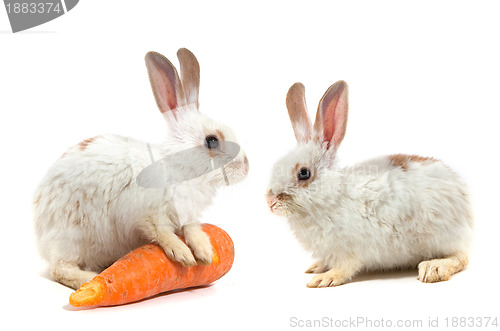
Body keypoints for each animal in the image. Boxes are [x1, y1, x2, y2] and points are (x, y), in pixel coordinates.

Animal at [32, 48, 248, 290]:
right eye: (212, 141)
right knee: (59, 269)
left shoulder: (187, 215)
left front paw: (204, 253)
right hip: (72, 237)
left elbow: (193, 230)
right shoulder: (147, 214)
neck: (178, 168)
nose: (246, 167)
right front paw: (182, 254)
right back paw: (91, 279)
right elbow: (161, 232)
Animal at [266, 81, 472, 288]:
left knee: (462, 256)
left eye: (304, 173)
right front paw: (316, 267)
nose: (270, 201)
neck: (331, 198)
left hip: (443, 236)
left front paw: (324, 279)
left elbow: (345, 268)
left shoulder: (349, 250)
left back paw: (433, 268)